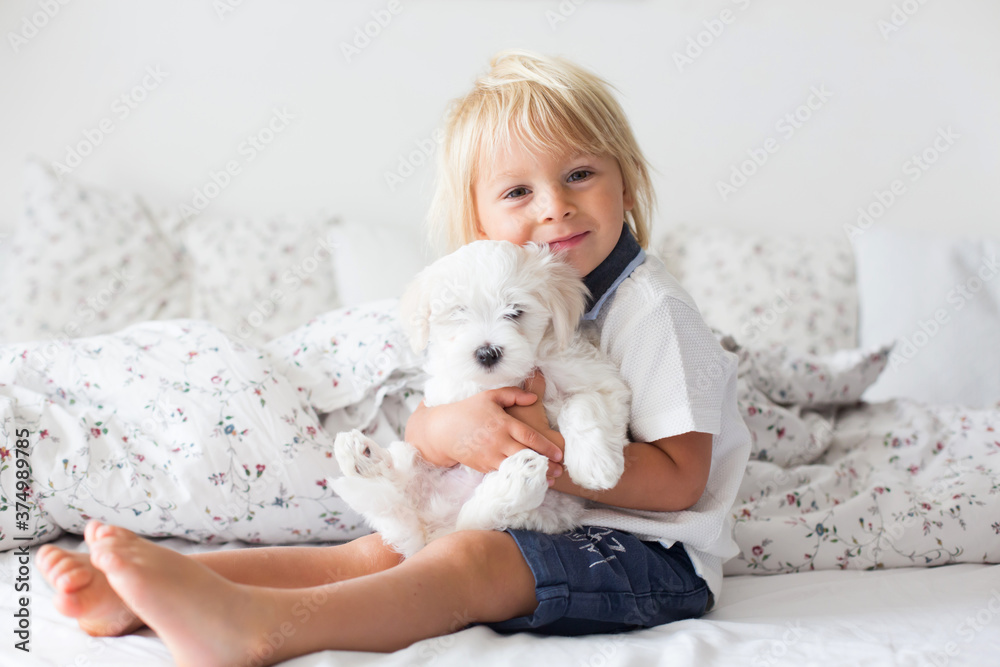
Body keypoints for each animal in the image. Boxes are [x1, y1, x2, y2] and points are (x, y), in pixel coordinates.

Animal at [332, 240, 628, 560]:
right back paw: (363, 457)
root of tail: (431, 528)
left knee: (467, 523)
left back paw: (513, 482)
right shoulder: (449, 388)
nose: (487, 353)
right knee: (426, 505)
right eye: (458, 312)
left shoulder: (599, 381)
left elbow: (584, 407)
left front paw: (595, 465)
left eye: (515, 311)